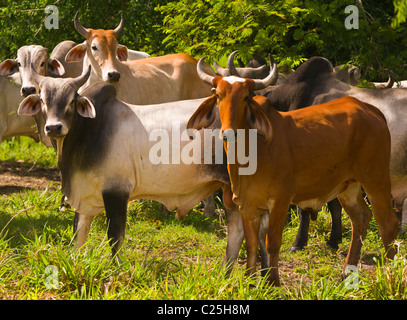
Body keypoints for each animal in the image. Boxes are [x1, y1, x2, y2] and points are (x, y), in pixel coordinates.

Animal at [16, 68, 270, 270]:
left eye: (71, 101)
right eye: (43, 100)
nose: (53, 127)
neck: (88, 130)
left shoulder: (116, 191)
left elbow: (115, 236)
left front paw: (117, 270)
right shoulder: (84, 196)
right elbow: (78, 236)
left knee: (260, 234)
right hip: (230, 192)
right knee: (237, 233)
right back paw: (225, 275)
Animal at [190, 57, 400, 284]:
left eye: (246, 97)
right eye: (218, 95)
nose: (228, 133)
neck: (253, 149)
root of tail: (371, 110)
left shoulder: (280, 200)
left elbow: (272, 242)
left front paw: (273, 281)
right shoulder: (246, 203)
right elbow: (251, 244)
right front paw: (250, 281)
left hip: (376, 180)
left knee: (388, 224)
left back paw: (390, 274)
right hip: (348, 186)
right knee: (360, 218)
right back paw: (347, 271)